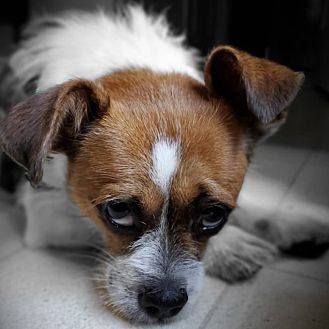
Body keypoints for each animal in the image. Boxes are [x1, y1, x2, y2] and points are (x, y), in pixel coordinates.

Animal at [1, 4, 326, 322]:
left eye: (213, 214)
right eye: (118, 210)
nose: (165, 304)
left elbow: (251, 206)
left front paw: (292, 222)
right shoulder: (44, 213)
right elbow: (84, 221)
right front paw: (232, 246)